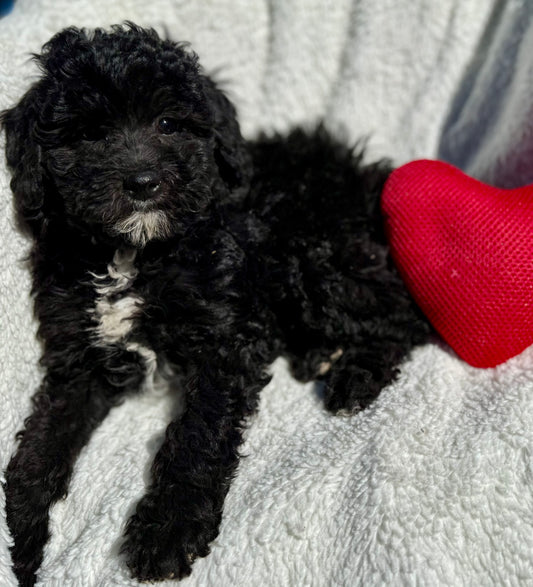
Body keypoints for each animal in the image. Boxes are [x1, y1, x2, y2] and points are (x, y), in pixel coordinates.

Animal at [1, 24, 428, 587]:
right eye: (89, 133)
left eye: (168, 123)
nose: (143, 183)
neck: (133, 254)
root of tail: (362, 179)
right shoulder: (81, 354)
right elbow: (42, 440)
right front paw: (26, 544)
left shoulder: (223, 341)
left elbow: (198, 435)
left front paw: (167, 530)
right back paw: (320, 356)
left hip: (317, 258)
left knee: (404, 314)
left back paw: (353, 377)